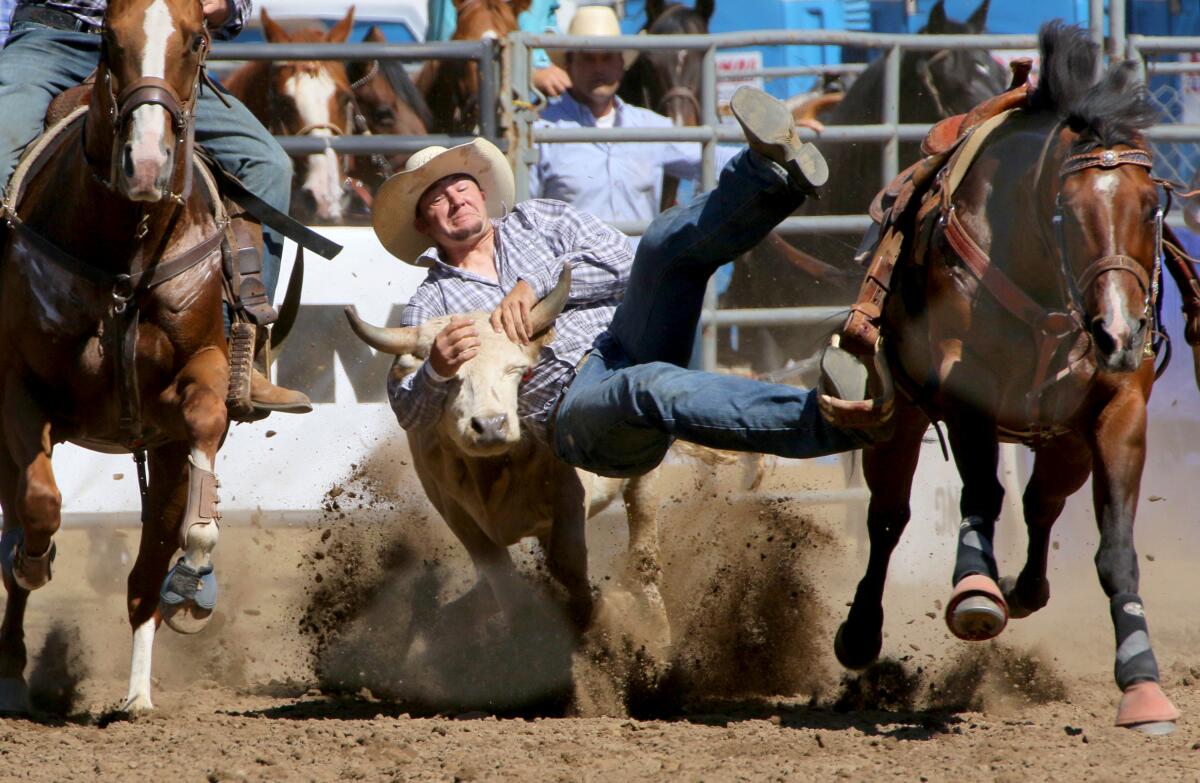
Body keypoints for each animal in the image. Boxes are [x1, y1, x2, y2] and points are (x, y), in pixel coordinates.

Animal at [0, 0, 236, 710]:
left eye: (197, 40)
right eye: (108, 38)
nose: (148, 165)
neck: (126, 253)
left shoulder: (198, 376)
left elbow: (207, 423)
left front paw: (197, 559)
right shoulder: (19, 387)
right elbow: (39, 502)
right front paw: (33, 557)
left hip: (160, 451)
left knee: (145, 572)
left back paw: (138, 692)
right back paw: (12, 671)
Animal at [830, 21, 1176, 734]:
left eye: (1151, 207)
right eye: (1066, 212)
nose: (1119, 334)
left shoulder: (1120, 408)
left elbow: (1116, 547)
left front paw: (1142, 682)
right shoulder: (966, 391)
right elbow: (980, 496)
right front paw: (974, 590)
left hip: (1066, 439)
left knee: (1041, 503)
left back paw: (1027, 589)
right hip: (900, 417)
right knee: (888, 518)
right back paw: (863, 631)